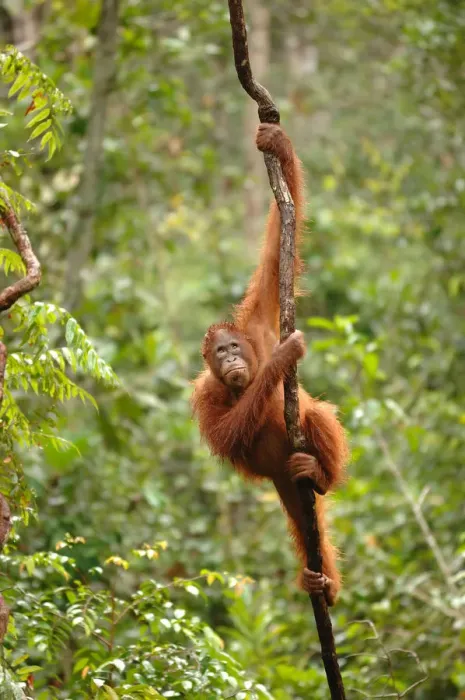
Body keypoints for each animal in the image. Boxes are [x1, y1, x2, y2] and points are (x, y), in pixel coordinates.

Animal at [192, 123, 348, 605]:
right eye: (220, 354)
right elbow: (226, 434)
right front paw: (280, 359)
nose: (231, 359)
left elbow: (279, 246)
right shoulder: (204, 395)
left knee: (316, 415)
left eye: (234, 347)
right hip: (281, 481)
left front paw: (277, 142)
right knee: (301, 515)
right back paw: (319, 582)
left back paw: (321, 475)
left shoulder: (261, 318)